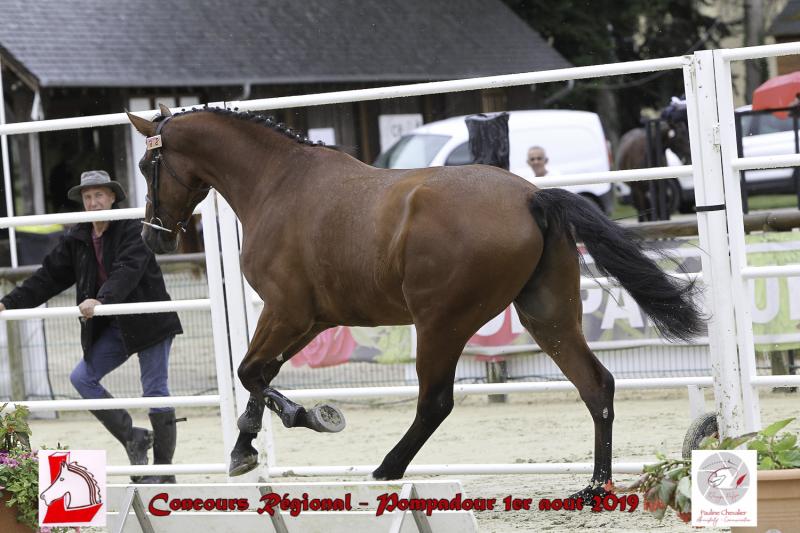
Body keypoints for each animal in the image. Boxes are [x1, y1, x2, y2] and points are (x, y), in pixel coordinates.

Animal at [127, 103, 703, 502]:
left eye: (145, 163)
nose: (153, 235)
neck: (277, 183)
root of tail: (531, 196)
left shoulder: (287, 310)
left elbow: (252, 372)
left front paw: (310, 417)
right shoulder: (311, 320)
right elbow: (258, 372)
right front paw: (245, 449)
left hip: (441, 323)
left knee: (435, 402)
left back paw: (388, 468)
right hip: (548, 316)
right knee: (595, 385)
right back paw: (594, 487)